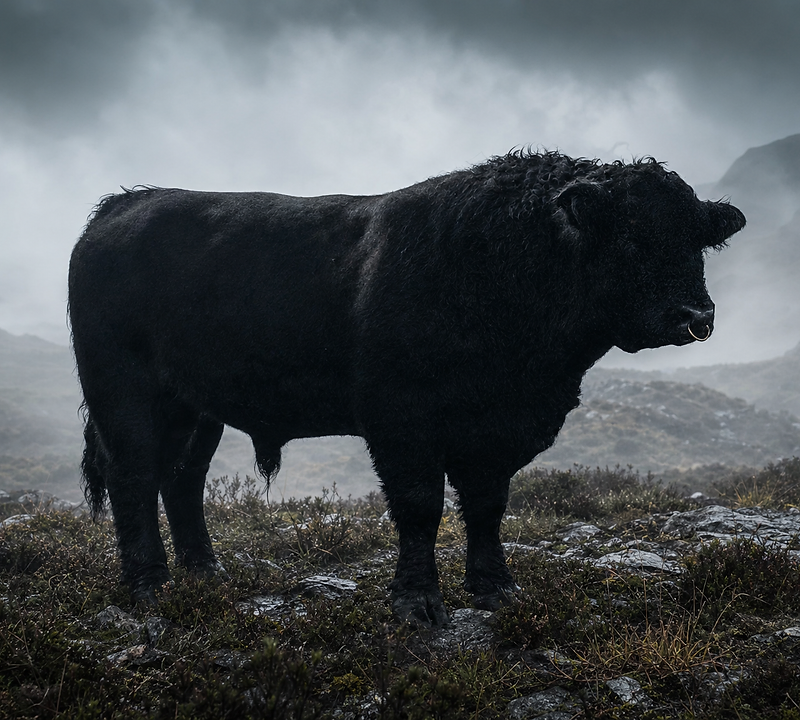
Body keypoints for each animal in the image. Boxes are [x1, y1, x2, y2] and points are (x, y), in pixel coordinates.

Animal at [68, 151, 745, 626]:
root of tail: (125, 202)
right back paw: (148, 584)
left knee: (180, 477)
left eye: (697, 241)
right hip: (123, 393)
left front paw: (496, 588)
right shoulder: (402, 420)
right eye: (631, 236)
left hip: (195, 406)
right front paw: (417, 604)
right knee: (134, 475)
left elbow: (487, 506)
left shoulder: (496, 430)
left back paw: (206, 574)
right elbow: (420, 508)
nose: (697, 316)